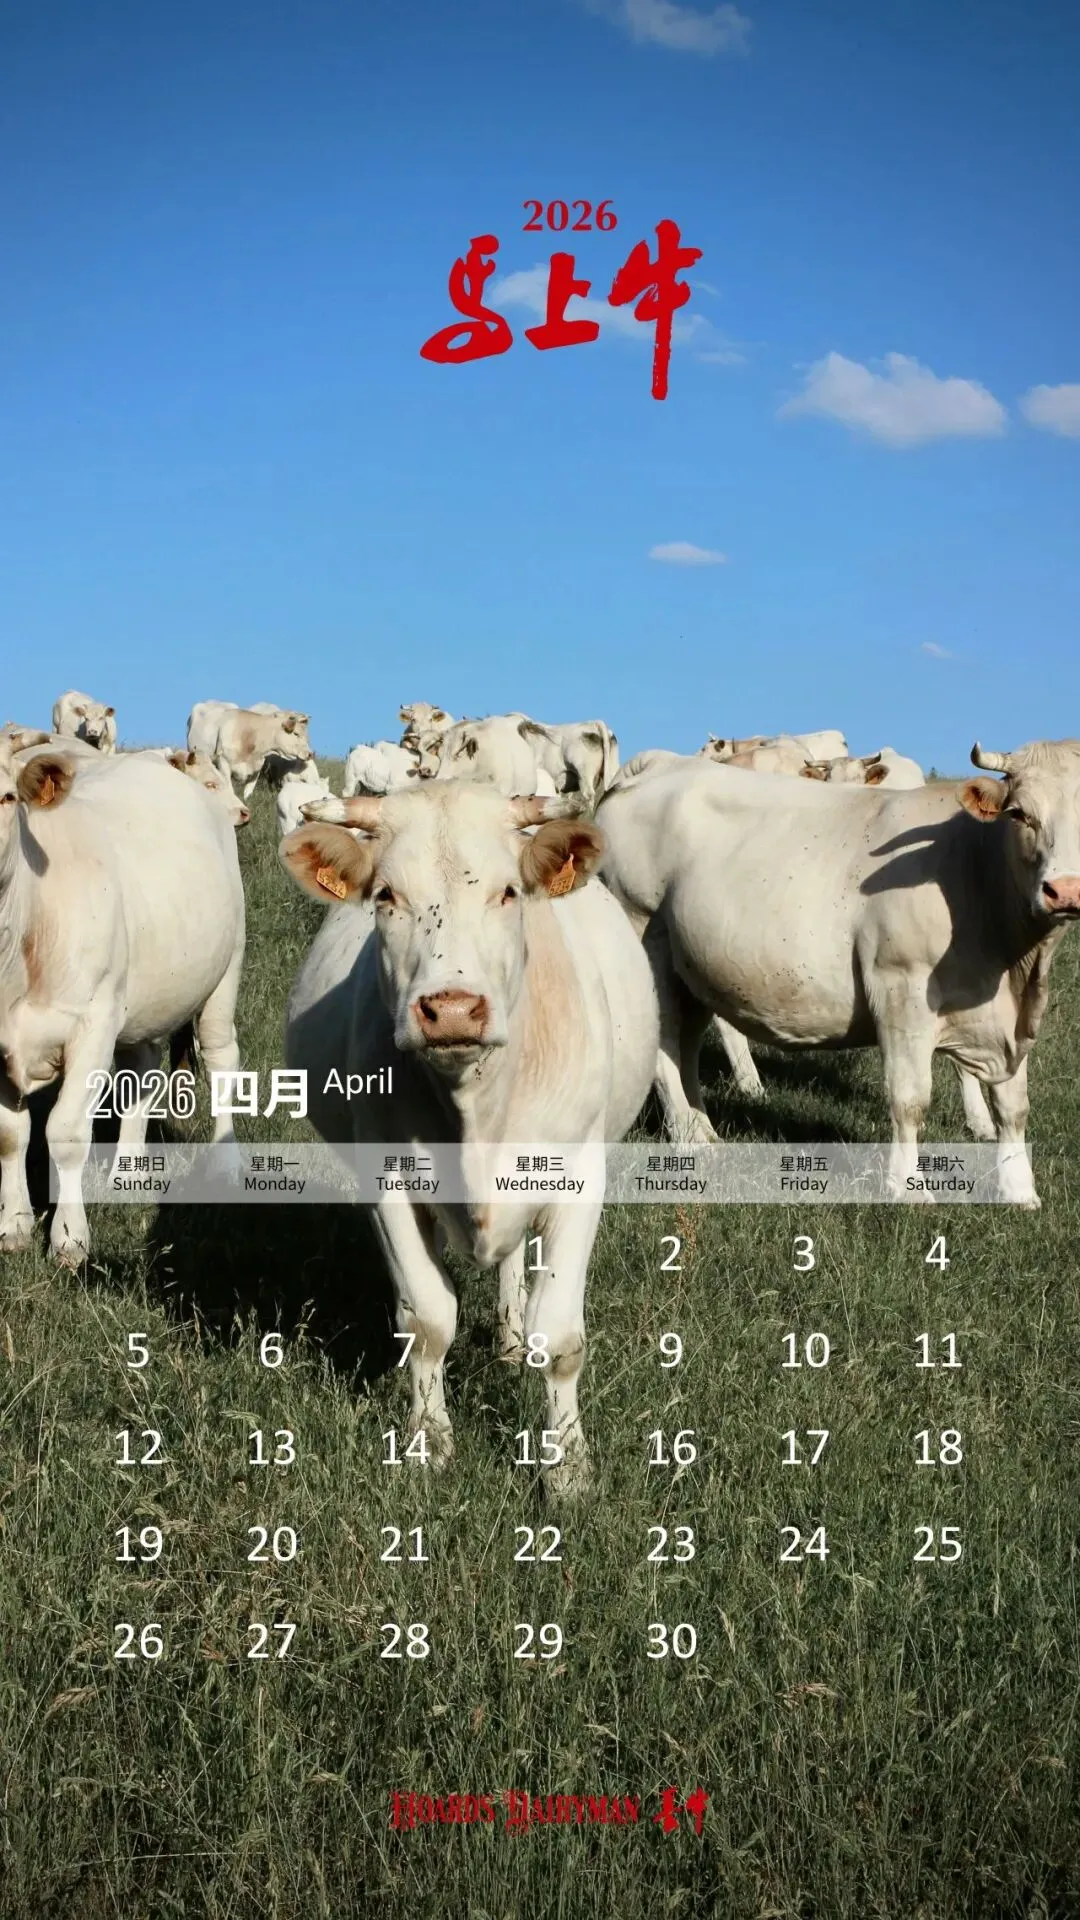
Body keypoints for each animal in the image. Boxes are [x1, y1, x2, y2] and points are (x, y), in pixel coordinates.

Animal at [0, 743, 246, 1264]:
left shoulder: (92, 1024)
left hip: (226, 969)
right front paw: (13, 1225)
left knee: (221, 1058)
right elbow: (10, 1136)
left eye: (7, 796)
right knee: (144, 1074)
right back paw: (126, 1172)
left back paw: (226, 1162)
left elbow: (65, 1132)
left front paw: (69, 1239)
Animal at [280, 784, 659, 1493]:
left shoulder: (577, 1179)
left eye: (509, 892)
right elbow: (427, 1321)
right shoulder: (388, 1185)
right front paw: (429, 1442)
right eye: (385, 896)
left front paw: (567, 1466)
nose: (452, 1009)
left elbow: (559, 1336)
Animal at [597, 741, 1080, 1205]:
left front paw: (1021, 1191)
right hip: (644, 936)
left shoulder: (1008, 1018)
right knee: (663, 1045)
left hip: (693, 967)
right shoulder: (901, 987)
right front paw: (909, 1188)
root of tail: (660, 764)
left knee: (687, 1045)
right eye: (1019, 813)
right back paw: (687, 1140)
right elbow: (909, 1099)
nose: (1065, 891)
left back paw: (705, 1132)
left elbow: (1014, 1105)